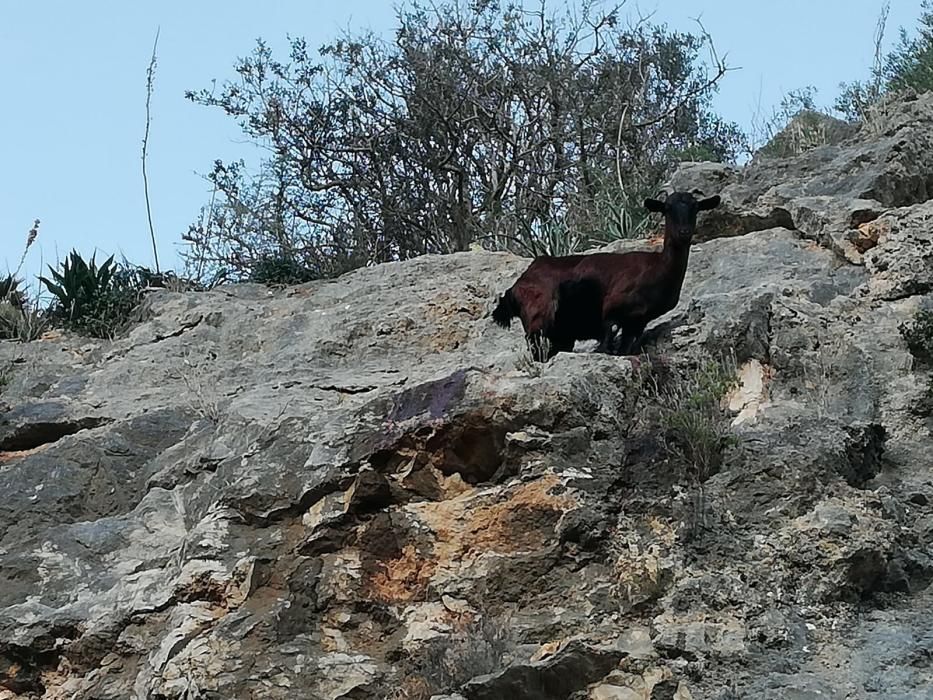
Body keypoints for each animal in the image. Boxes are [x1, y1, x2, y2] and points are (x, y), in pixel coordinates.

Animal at [496, 191, 720, 360]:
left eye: (696, 208)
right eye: (667, 209)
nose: (684, 232)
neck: (657, 269)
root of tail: (517, 285)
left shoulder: (637, 322)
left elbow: (625, 349)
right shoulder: (611, 310)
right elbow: (606, 343)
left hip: (562, 333)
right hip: (538, 322)